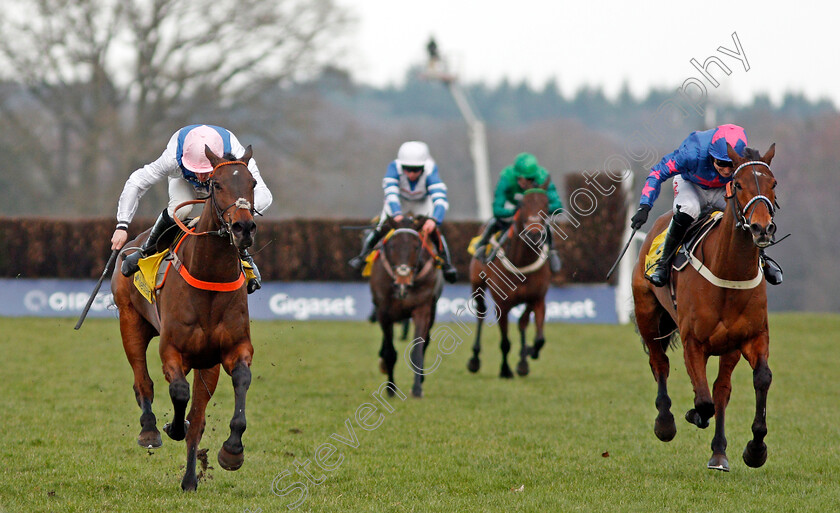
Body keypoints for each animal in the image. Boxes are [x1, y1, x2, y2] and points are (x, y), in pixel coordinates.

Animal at [111, 144, 258, 488]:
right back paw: (150, 429)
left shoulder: (229, 351)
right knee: (143, 382)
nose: (243, 228)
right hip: (130, 323)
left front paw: (232, 451)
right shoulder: (172, 350)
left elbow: (239, 381)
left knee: (198, 416)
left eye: (253, 184)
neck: (209, 276)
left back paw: (190, 479)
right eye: (217, 184)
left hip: (206, 363)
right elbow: (178, 392)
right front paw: (171, 427)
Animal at [370, 214, 442, 398]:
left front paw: (417, 388)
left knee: (425, 342)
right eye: (392, 245)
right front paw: (390, 388)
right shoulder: (383, 312)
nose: (403, 278)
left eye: (416, 246)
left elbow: (417, 351)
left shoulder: (422, 309)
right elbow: (390, 353)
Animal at [466, 178, 552, 378]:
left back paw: (523, 361)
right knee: (480, 312)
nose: (534, 234)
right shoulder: (502, 306)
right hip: (476, 284)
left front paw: (527, 353)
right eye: (523, 204)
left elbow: (539, 338)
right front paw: (505, 370)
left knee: (522, 323)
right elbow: (505, 342)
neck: (521, 261)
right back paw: (475, 359)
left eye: (546, 204)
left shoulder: (537, 299)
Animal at [636, 142, 780, 470]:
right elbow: (702, 401)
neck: (729, 272)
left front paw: (756, 449)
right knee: (659, 363)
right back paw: (665, 423)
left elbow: (759, 379)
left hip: (728, 347)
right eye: (738, 184)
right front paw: (692, 414)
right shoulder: (694, 342)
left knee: (721, 390)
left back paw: (718, 452)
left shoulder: (751, 338)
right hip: (647, 314)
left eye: (773, 184)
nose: (762, 228)